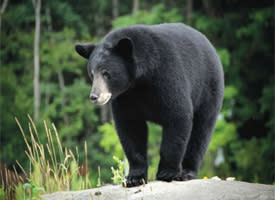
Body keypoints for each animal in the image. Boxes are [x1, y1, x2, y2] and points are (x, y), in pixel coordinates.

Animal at [75, 23, 224, 188]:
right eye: (92, 74)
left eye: (106, 73)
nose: (94, 97)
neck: (140, 81)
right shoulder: (126, 97)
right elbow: (130, 128)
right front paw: (134, 178)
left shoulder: (167, 75)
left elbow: (178, 115)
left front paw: (167, 172)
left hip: (208, 89)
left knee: (201, 131)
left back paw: (187, 171)